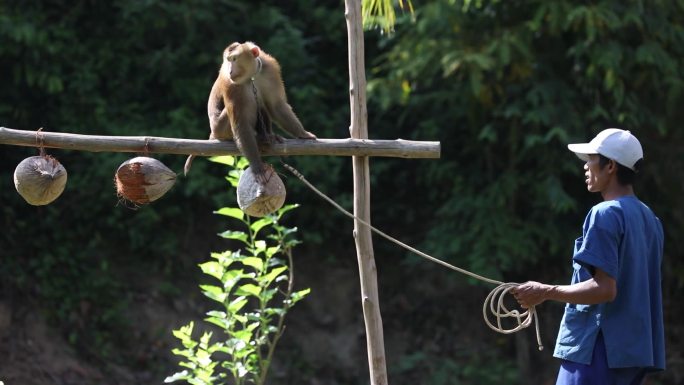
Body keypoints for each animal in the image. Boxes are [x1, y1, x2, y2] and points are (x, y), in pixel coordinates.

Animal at [184, 41, 318, 180]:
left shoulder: (270, 69)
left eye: (234, 59)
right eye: (228, 60)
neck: (251, 76)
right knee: (251, 102)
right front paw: (257, 167)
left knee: (261, 103)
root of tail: (213, 133)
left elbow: (276, 105)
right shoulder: (233, 85)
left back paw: (267, 136)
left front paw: (303, 133)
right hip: (221, 129)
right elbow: (241, 123)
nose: (230, 71)